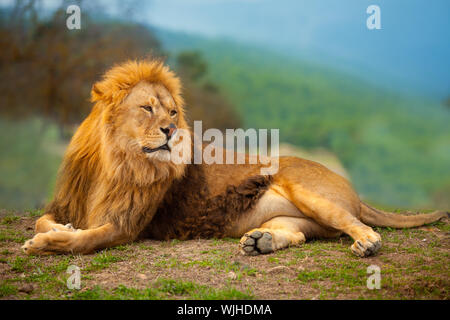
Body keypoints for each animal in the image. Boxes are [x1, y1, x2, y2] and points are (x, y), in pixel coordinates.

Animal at [22, 58, 448, 256]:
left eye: (172, 111)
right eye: (147, 108)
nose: (171, 130)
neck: (116, 161)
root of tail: (354, 190)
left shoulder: (127, 225)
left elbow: (83, 241)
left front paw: (47, 243)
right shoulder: (67, 203)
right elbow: (46, 220)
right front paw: (60, 229)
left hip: (306, 188)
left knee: (356, 224)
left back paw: (367, 244)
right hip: (298, 218)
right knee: (299, 233)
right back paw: (260, 242)